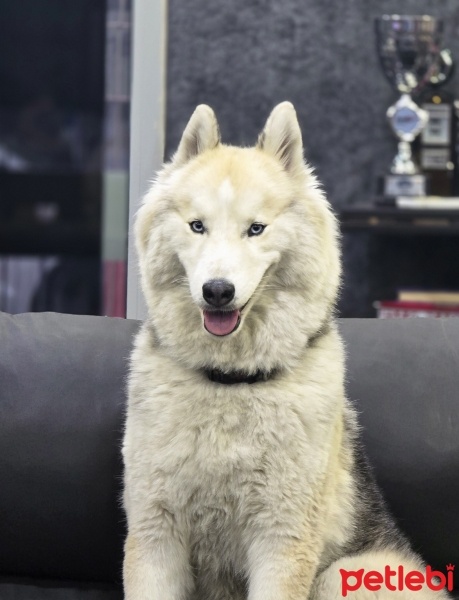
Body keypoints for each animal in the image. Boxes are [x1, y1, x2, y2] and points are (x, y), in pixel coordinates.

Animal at [122, 104, 450, 600]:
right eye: (197, 226)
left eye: (256, 229)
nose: (217, 291)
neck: (232, 382)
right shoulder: (155, 532)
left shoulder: (282, 539)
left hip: (347, 572)